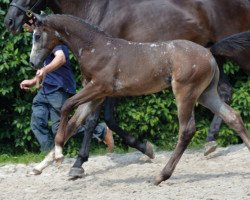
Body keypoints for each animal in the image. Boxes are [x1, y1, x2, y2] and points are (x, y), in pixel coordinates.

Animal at [4, 0, 250, 177]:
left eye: (37, 35)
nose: (33, 63)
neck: (96, 47)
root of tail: (208, 52)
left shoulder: (99, 88)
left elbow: (67, 108)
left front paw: (60, 156)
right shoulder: (96, 95)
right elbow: (75, 123)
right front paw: (43, 165)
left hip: (185, 93)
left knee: (187, 130)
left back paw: (162, 175)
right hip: (206, 94)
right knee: (233, 116)